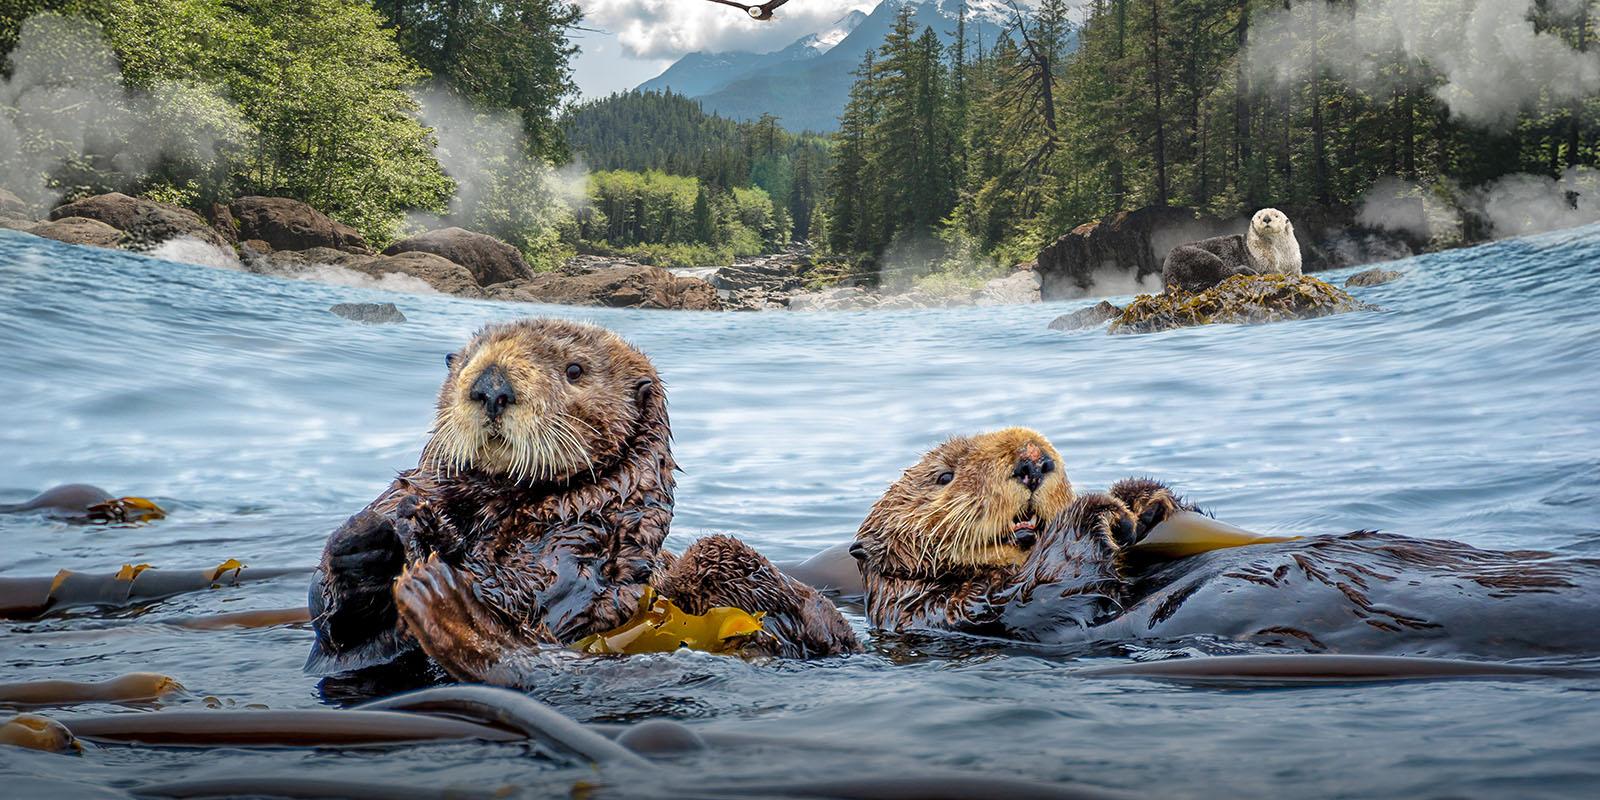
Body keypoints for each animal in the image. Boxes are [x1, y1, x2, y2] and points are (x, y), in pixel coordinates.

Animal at [308, 319, 858, 682]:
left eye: (575, 370)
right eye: (464, 362)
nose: (491, 386)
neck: (501, 501)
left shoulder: (584, 542)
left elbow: (532, 596)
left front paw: (435, 552)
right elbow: (336, 627)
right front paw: (369, 540)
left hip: (731, 565)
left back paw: (443, 604)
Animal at [851, 429, 1600, 659]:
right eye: (944, 475)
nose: (1035, 459)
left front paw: (1145, 498)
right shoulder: (963, 614)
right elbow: (1052, 592)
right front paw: (1101, 509)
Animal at [1161, 208, 1302, 294]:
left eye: (1276, 216)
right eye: (1259, 216)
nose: (1266, 219)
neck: (1279, 252)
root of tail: (1167, 277)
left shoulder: (1294, 263)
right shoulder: (1264, 261)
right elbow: (1271, 271)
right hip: (1197, 256)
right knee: (1224, 272)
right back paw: (1248, 271)